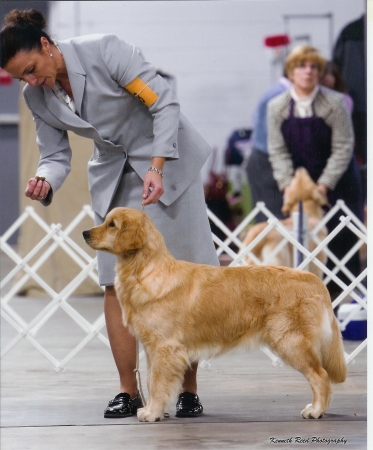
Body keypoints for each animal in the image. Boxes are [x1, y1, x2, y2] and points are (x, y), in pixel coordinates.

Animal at [83, 207, 344, 422]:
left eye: (112, 224)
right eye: (105, 221)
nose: (85, 233)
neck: (145, 270)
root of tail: (314, 280)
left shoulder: (165, 348)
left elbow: (156, 383)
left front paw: (152, 413)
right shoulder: (152, 349)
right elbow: (149, 380)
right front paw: (153, 410)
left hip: (289, 341)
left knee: (320, 375)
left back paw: (316, 410)